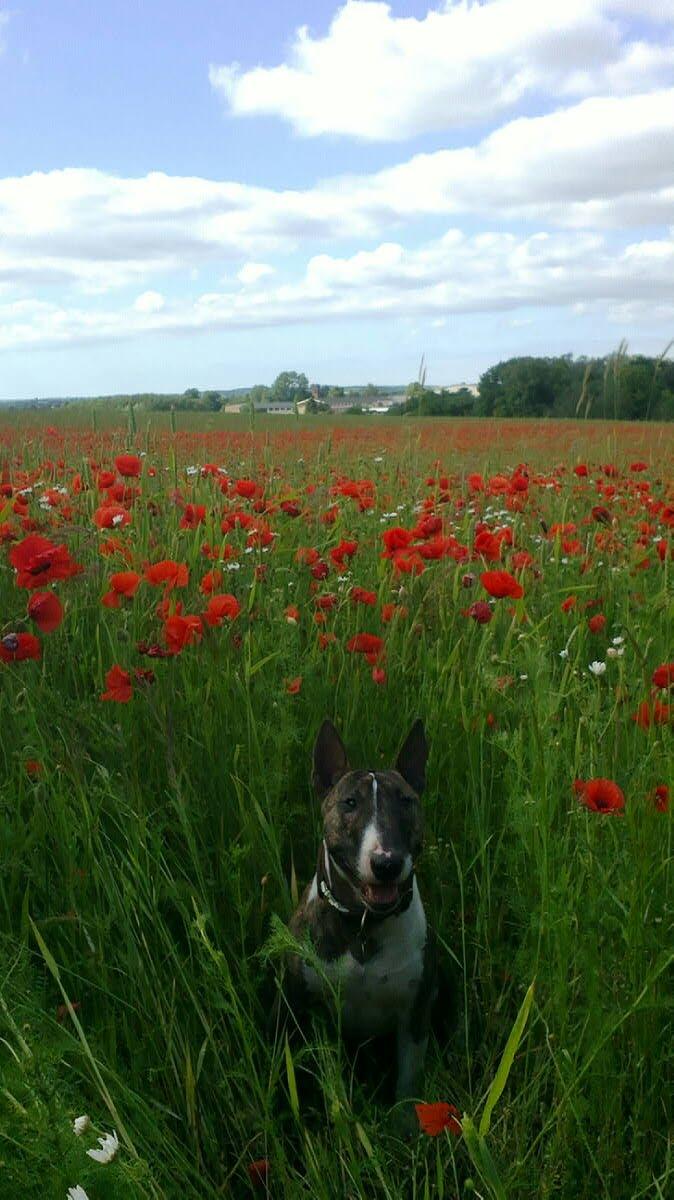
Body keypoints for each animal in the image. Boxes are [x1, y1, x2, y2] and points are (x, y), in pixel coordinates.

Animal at [277, 715, 436, 1128]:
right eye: (349, 803)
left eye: (406, 801)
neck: (364, 925)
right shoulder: (303, 1007)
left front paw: (403, 1126)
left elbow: (408, 1078)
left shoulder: (415, 1014)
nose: (387, 863)